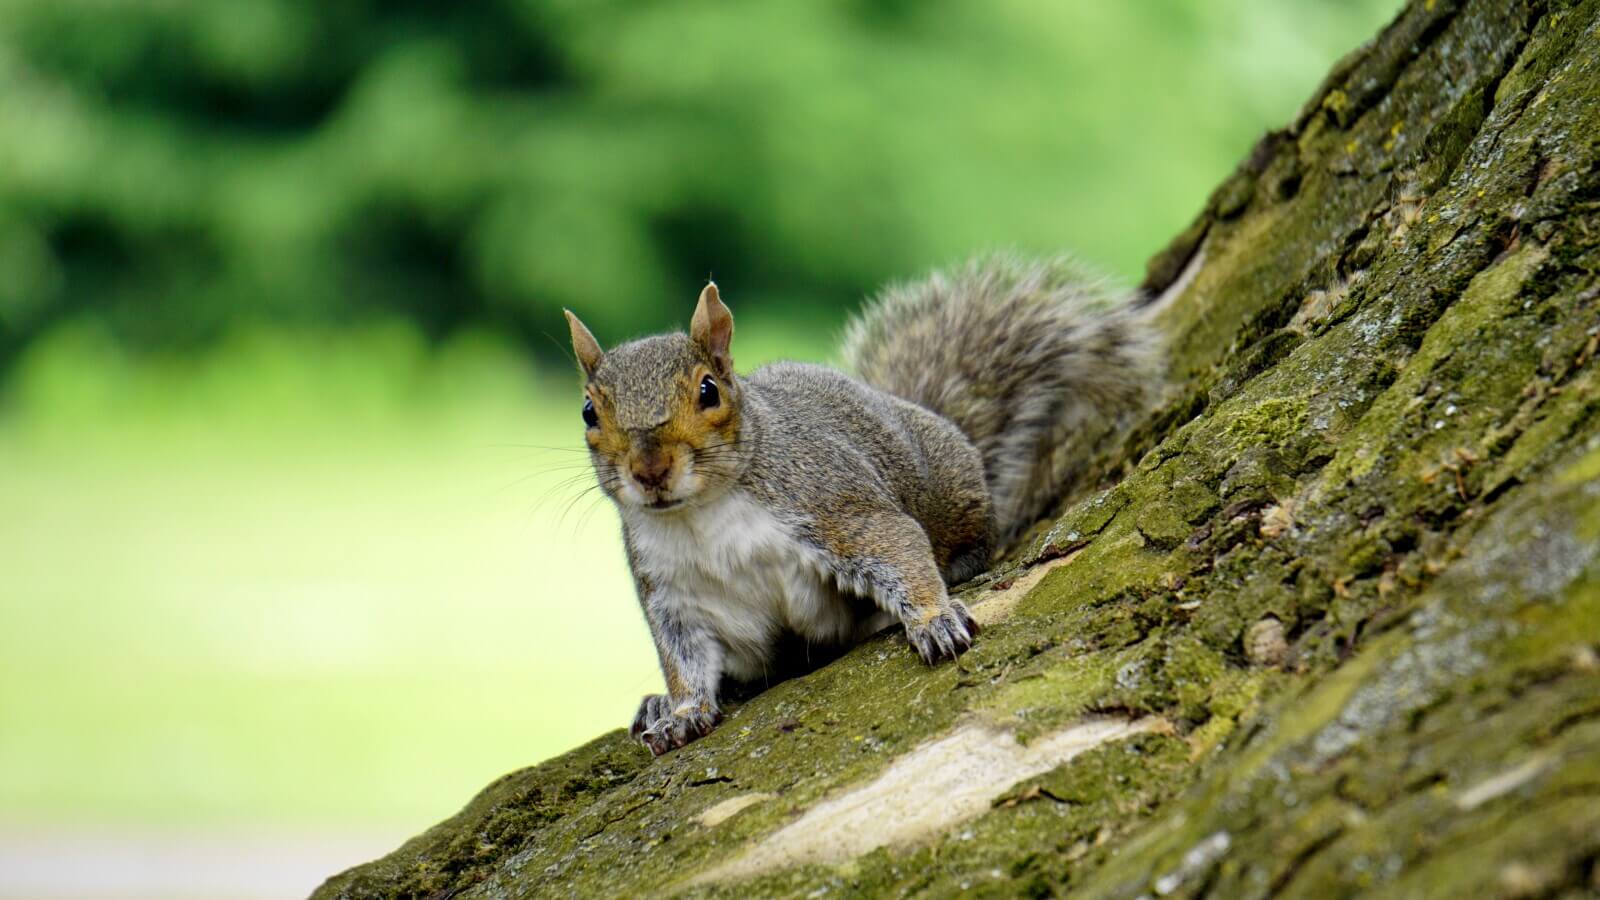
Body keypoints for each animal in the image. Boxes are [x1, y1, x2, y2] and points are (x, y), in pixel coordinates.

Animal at [563, 254, 1160, 756]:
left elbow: (897, 546)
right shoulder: (673, 593)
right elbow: (683, 659)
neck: (702, 515)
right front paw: (682, 711)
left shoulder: (833, 504)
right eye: (589, 412)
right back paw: (656, 704)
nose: (650, 471)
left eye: (709, 390)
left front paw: (934, 620)